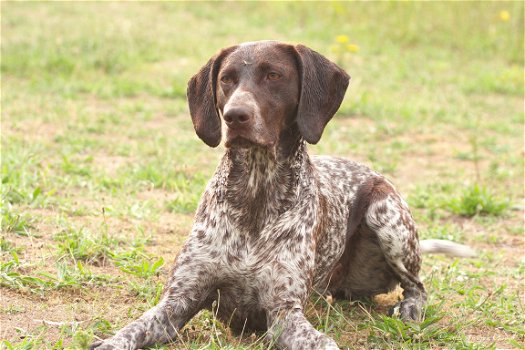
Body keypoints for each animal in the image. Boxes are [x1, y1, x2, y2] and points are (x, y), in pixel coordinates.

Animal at [91, 41, 474, 350]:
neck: (255, 191)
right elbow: (130, 331)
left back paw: (410, 308)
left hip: (386, 213)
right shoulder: (177, 302)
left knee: (417, 286)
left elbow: (324, 342)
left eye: (274, 75)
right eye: (226, 79)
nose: (235, 116)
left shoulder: (283, 314)